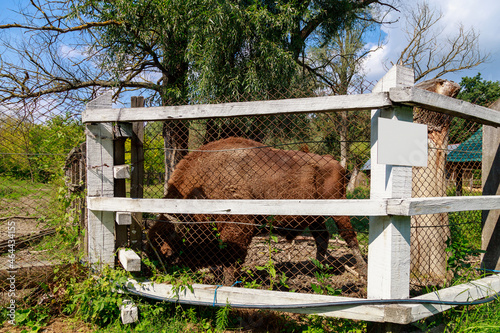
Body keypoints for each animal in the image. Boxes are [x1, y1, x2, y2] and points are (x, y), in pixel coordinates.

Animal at [147, 136, 364, 284]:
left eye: (168, 245)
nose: (160, 269)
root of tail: (335, 163)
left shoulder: (238, 228)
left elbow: (231, 261)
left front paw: (229, 284)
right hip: (315, 216)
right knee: (322, 237)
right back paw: (318, 269)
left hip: (337, 207)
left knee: (348, 236)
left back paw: (362, 270)